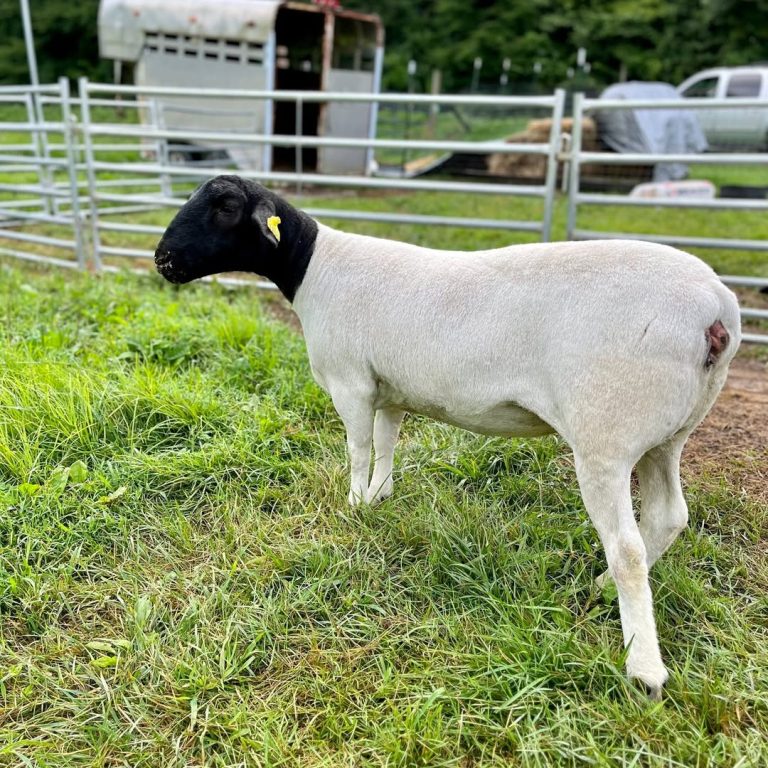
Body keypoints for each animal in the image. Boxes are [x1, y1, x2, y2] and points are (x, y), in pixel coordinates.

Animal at [154, 174, 741, 698]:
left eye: (225, 207)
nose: (162, 259)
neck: (313, 267)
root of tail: (716, 305)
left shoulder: (350, 382)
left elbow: (357, 448)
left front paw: (353, 505)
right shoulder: (390, 389)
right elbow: (387, 444)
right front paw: (379, 497)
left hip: (607, 431)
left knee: (628, 549)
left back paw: (643, 669)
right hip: (667, 433)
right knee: (667, 517)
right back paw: (598, 589)